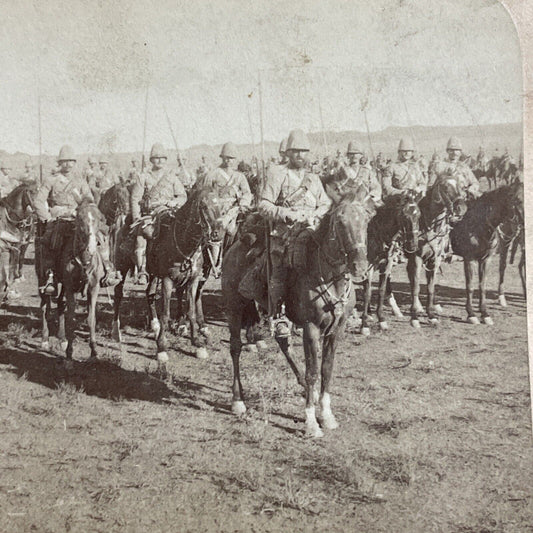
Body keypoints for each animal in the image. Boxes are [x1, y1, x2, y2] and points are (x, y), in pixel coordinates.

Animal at [34, 201, 110, 362]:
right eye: (80, 221)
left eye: (98, 220)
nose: (91, 248)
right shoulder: (70, 288)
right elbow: (71, 320)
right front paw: (69, 355)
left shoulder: (93, 289)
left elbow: (91, 319)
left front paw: (94, 352)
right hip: (42, 278)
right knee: (45, 307)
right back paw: (45, 340)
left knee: (60, 304)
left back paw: (62, 339)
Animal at [222, 194, 368, 436]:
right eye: (340, 222)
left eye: (366, 220)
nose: (359, 265)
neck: (330, 277)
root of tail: (235, 247)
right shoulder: (311, 328)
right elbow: (313, 372)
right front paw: (311, 423)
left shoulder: (336, 329)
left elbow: (326, 370)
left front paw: (326, 415)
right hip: (234, 306)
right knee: (235, 347)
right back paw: (238, 401)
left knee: (283, 343)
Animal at [360, 190, 422, 332]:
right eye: (404, 216)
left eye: (419, 215)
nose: (413, 245)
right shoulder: (368, 267)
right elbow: (367, 293)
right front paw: (364, 325)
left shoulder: (385, 265)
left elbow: (381, 291)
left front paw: (381, 319)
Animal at [448, 180, 524, 324]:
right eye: (517, 200)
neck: (478, 225)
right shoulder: (469, 259)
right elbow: (470, 286)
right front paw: (471, 314)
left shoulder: (485, 259)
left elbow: (482, 285)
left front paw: (484, 313)